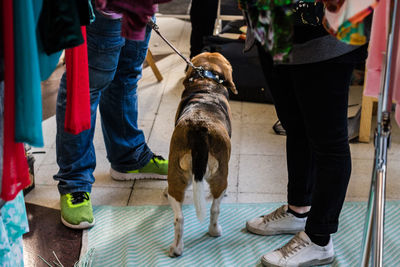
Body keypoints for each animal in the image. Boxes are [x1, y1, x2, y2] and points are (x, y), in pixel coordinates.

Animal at [166, 52, 236, 258]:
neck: (207, 80)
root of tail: (199, 127)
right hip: (220, 177)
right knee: (215, 208)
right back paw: (214, 231)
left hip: (175, 177)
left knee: (179, 218)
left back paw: (177, 249)